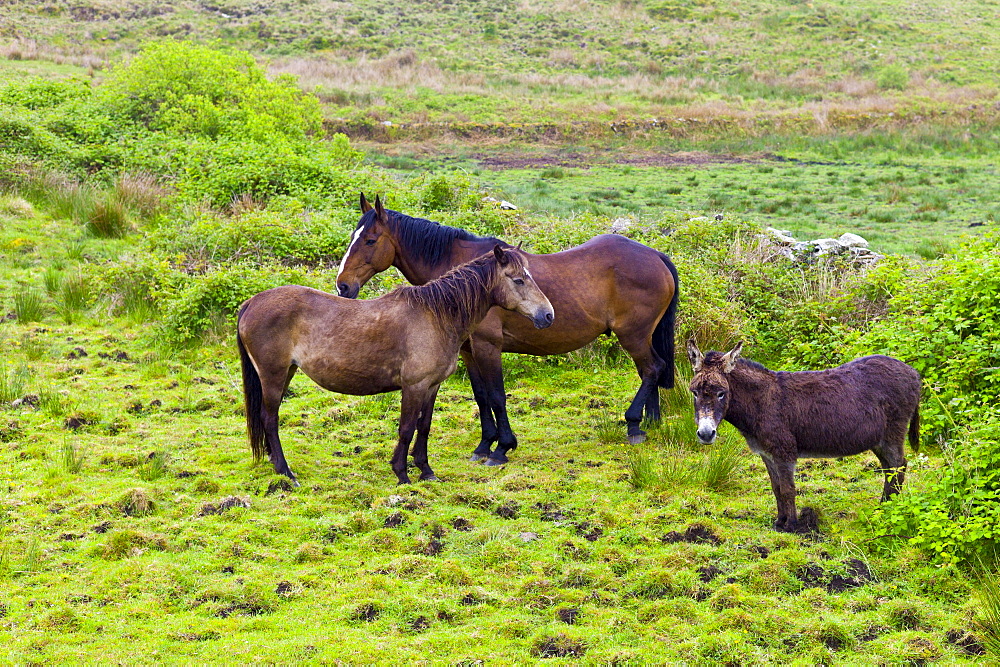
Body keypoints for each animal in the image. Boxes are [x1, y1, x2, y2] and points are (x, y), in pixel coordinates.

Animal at [239, 240, 560, 486]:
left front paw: (426, 471)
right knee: (270, 418)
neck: (436, 316)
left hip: (286, 372)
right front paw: (402, 475)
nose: (547, 315)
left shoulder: (431, 386)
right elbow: (406, 428)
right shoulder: (413, 386)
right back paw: (286, 472)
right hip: (273, 374)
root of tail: (252, 302)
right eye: (518, 279)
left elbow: (424, 426)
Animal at [336, 193, 680, 464]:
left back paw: (633, 424)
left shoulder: (489, 346)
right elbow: (481, 396)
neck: (470, 278)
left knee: (652, 368)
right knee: (650, 370)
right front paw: (484, 445)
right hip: (641, 336)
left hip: (633, 335)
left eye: (370, 240)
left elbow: (497, 396)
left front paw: (502, 448)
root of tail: (656, 255)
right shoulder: (468, 350)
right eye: (353, 237)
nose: (343, 286)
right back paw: (650, 422)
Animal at [688, 342, 920, 536]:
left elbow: (788, 489)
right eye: (694, 392)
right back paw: (884, 507)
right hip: (878, 441)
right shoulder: (767, 454)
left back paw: (890, 509)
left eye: (721, 393)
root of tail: (914, 372)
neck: (761, 402)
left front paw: (792, 526)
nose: (706, 434)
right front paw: (779, 522)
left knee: (899, 466)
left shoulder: (784, 452)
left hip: (893, 433)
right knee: (890, 469)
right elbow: (776, 488)